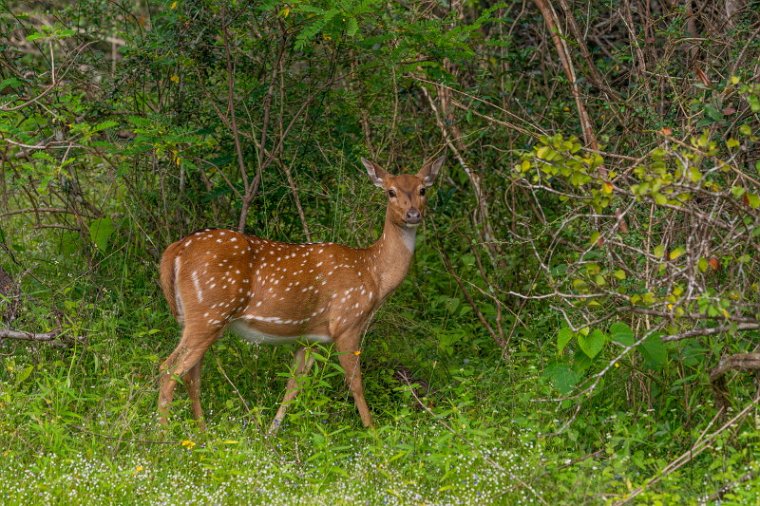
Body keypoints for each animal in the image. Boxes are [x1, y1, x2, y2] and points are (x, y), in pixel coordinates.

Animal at [159, 156, 446, 432]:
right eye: (390, 191)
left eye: (422, 189)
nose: (412, 214)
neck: (373, 274)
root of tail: (175, 250)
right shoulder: (347, 322)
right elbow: (355, 383)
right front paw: (373, 432)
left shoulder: (308, 338)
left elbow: (293, 386)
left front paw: (271, 434)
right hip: (209, 312)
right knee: (168, 369)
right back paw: (163, 436)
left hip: (198, 319)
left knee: (190, 375)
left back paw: (202, 434)